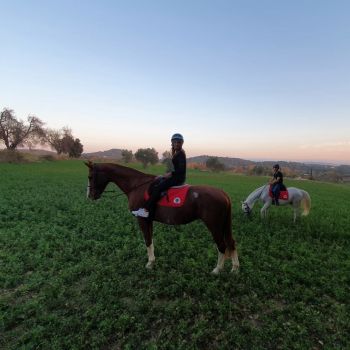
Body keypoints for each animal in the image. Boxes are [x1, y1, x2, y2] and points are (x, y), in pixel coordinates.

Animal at [85, 161, 239, 274]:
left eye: (90, 177)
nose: (90, 196)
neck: (137, 185)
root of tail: (223, 194)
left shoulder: (142, 220)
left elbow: (147, 241)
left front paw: (149, 264)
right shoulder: (149, 220)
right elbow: (151, 240)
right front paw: (152, 261)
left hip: (214, 225)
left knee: (222, 245)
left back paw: (217, 270)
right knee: (231, 243)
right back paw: (235, 269)